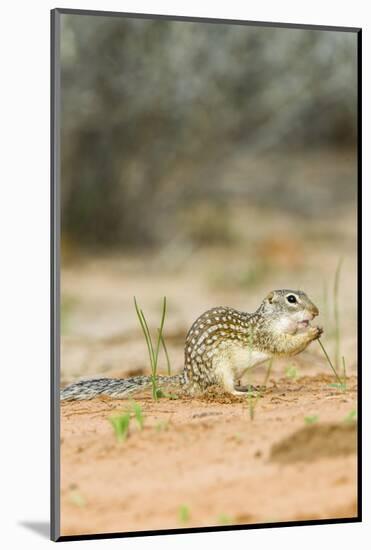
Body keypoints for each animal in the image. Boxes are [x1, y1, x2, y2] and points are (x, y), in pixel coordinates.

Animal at [61, 292, 322, 404]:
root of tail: (188, 378)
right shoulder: (264, 334)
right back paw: (243, 393)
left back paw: (248, 386)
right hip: (220, 368)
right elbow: (284, 345)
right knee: (225, 388)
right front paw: (312, 332)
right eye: (291, 299)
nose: (316, 312)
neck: (270, 318)